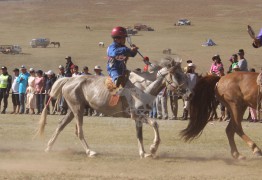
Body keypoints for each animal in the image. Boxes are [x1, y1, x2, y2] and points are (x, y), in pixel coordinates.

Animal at [35, 57, 189, 158]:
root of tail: (68, 79)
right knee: (79, 131)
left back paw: (48, 147)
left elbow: (139, 135)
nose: (187, 92)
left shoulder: (138, 117)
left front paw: (143, 153)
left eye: (184, 74)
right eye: (177, 74)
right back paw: (90, 152)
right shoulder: (136, 114)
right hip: (78, 110)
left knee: (61, 125)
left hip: (74, 110)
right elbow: (155, 123)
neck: (143, 87)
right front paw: (153, 149)